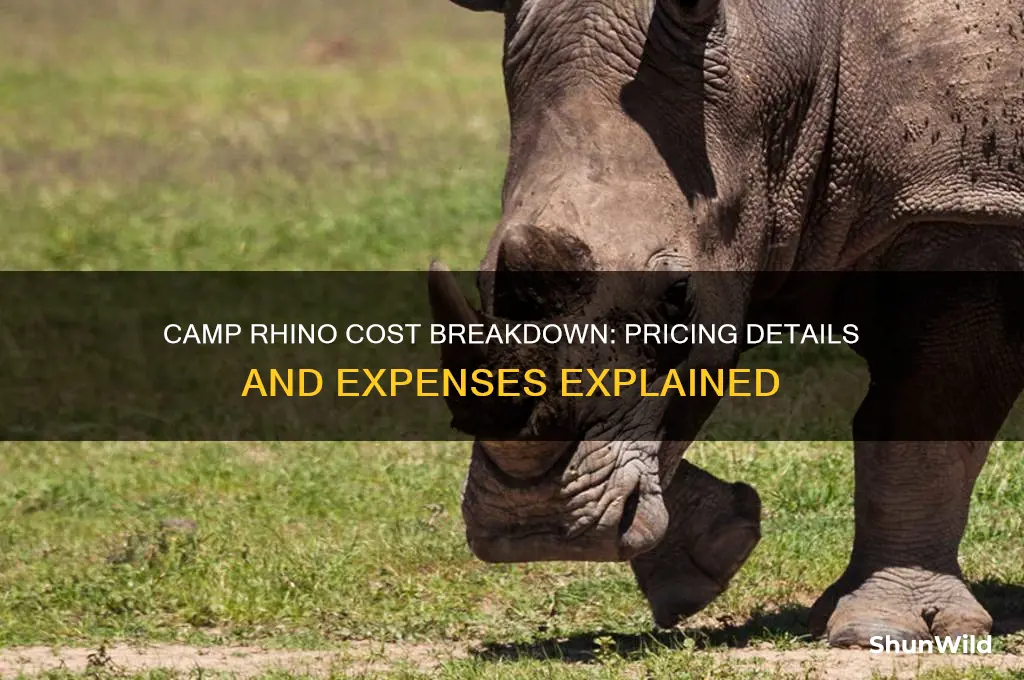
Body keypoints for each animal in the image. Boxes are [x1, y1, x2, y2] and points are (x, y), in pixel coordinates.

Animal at [428, 0, 1024, 647]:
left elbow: (922, 414)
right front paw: (711, 556)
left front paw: (883, 630)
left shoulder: (958, 209)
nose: (532, 527)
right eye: (484, 283)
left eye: (677, 297)